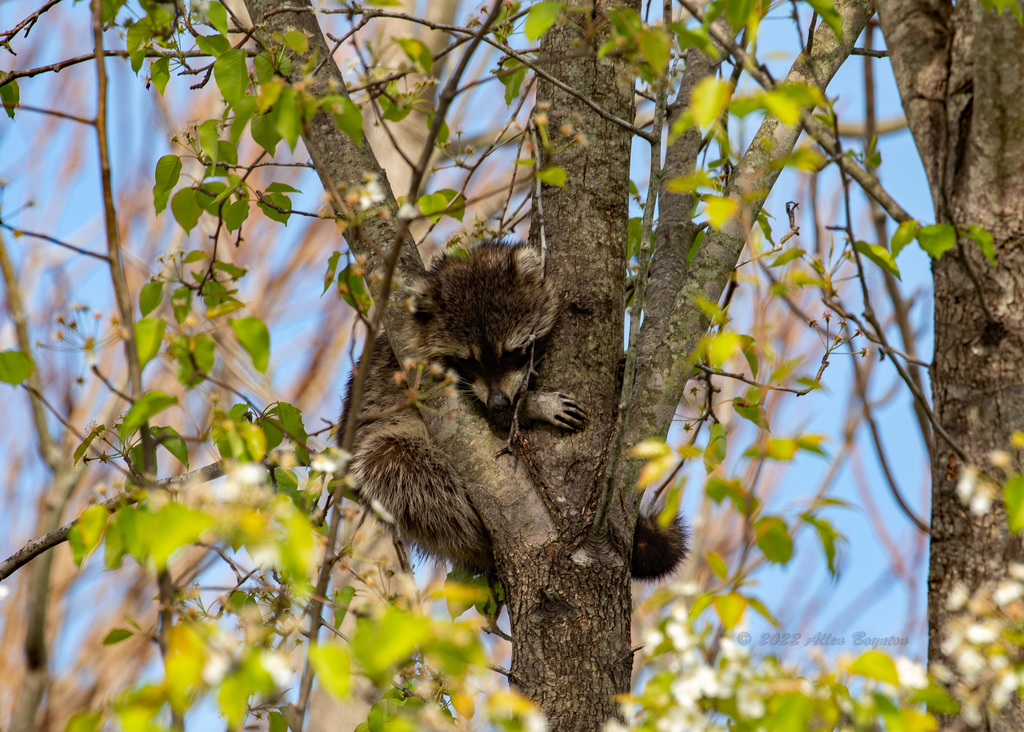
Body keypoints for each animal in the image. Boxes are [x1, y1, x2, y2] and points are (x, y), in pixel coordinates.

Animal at [339, 241, 687, 580]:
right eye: (467, 362)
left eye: (512, 352)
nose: (499, 401)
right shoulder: (424, 384)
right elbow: (491, 422)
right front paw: (534, 404)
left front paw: (620, 372)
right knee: (395, 464)